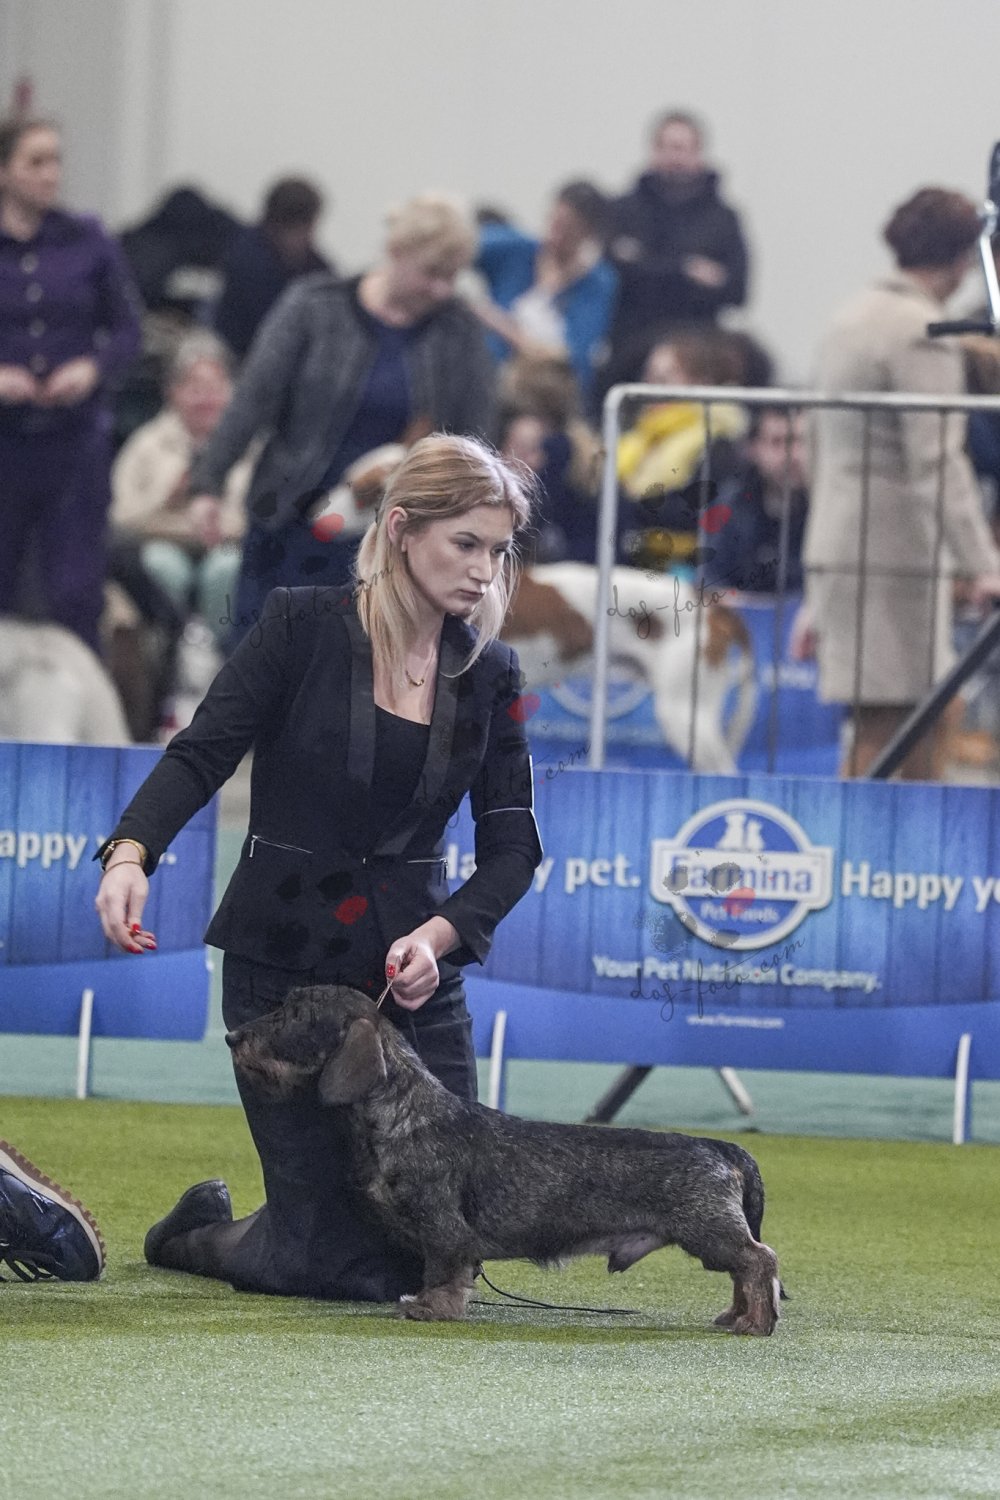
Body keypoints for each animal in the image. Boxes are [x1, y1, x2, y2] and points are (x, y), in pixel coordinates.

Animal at [226, 986, 782, 1334]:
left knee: (760, 1261)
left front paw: (431, 1309)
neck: (406, 1111)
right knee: (746, 1269)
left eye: (296, 1014)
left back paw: (756, 1322)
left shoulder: (443, 1228)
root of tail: (719, 1147)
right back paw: (736, 1316)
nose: (233, 1038)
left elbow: (443, 1272)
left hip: (708, 1232)